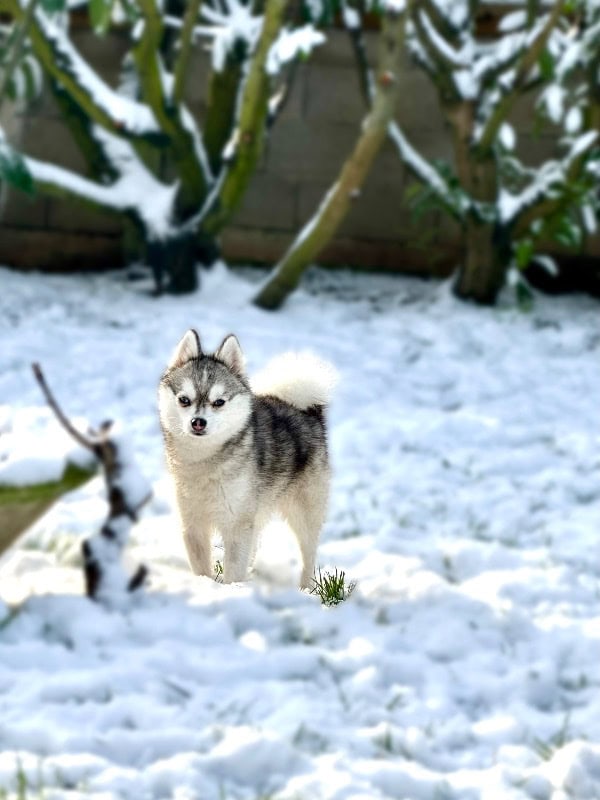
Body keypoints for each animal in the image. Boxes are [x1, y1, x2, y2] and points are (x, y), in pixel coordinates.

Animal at [158, 332, 338, 588]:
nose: (198, 422)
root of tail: (305, 409)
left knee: (309, 555)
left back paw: (305, 588)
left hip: (304, 513)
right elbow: (202, 567)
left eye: (219, 402)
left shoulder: (236, 524)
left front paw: (231, 589)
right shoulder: (193, 524)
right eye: (184, 399)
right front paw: (206, 585)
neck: (204, 460)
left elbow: (234, 567)